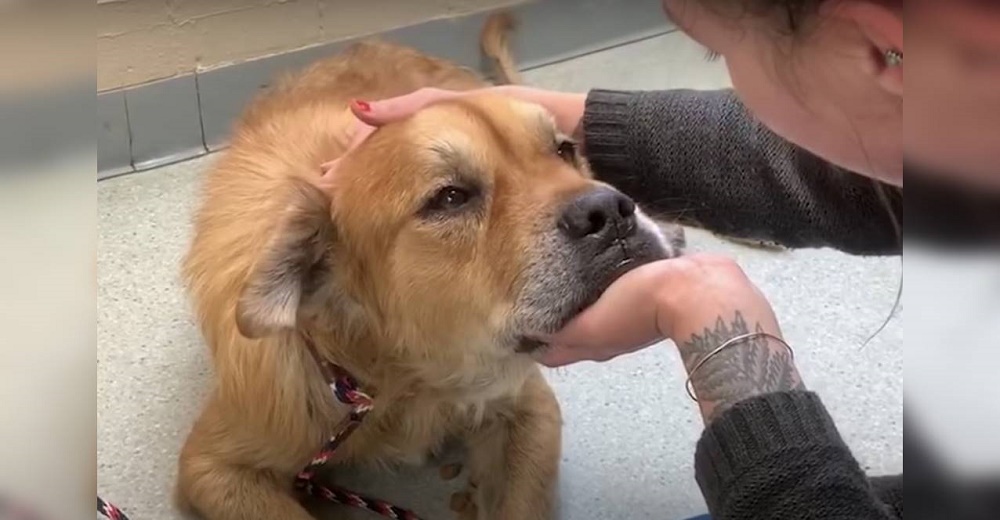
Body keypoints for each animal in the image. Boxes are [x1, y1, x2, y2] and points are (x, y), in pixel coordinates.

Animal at [176, 14, 684, 516]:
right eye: (451, 197)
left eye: (562, 150)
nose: (609, 212)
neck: (403, 379)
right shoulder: (213, 466)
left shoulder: (529, 408)